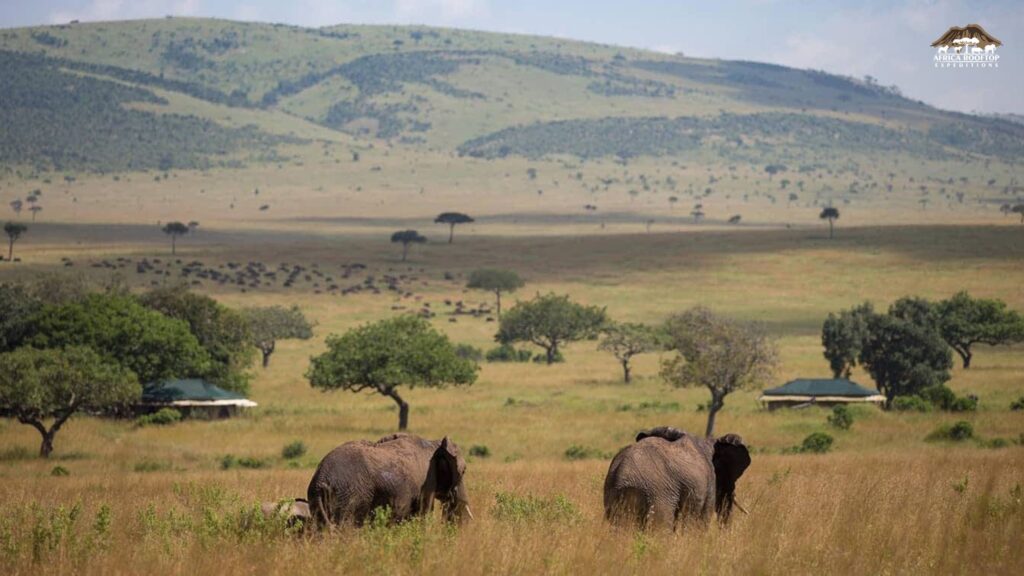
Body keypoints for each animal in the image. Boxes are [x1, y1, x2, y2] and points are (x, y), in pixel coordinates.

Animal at [307, 430, 475, 524]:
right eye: (464, 471)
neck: (434, 444)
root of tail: (321, 480)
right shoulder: (427, 482)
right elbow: (422, 515)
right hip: (349, 497)